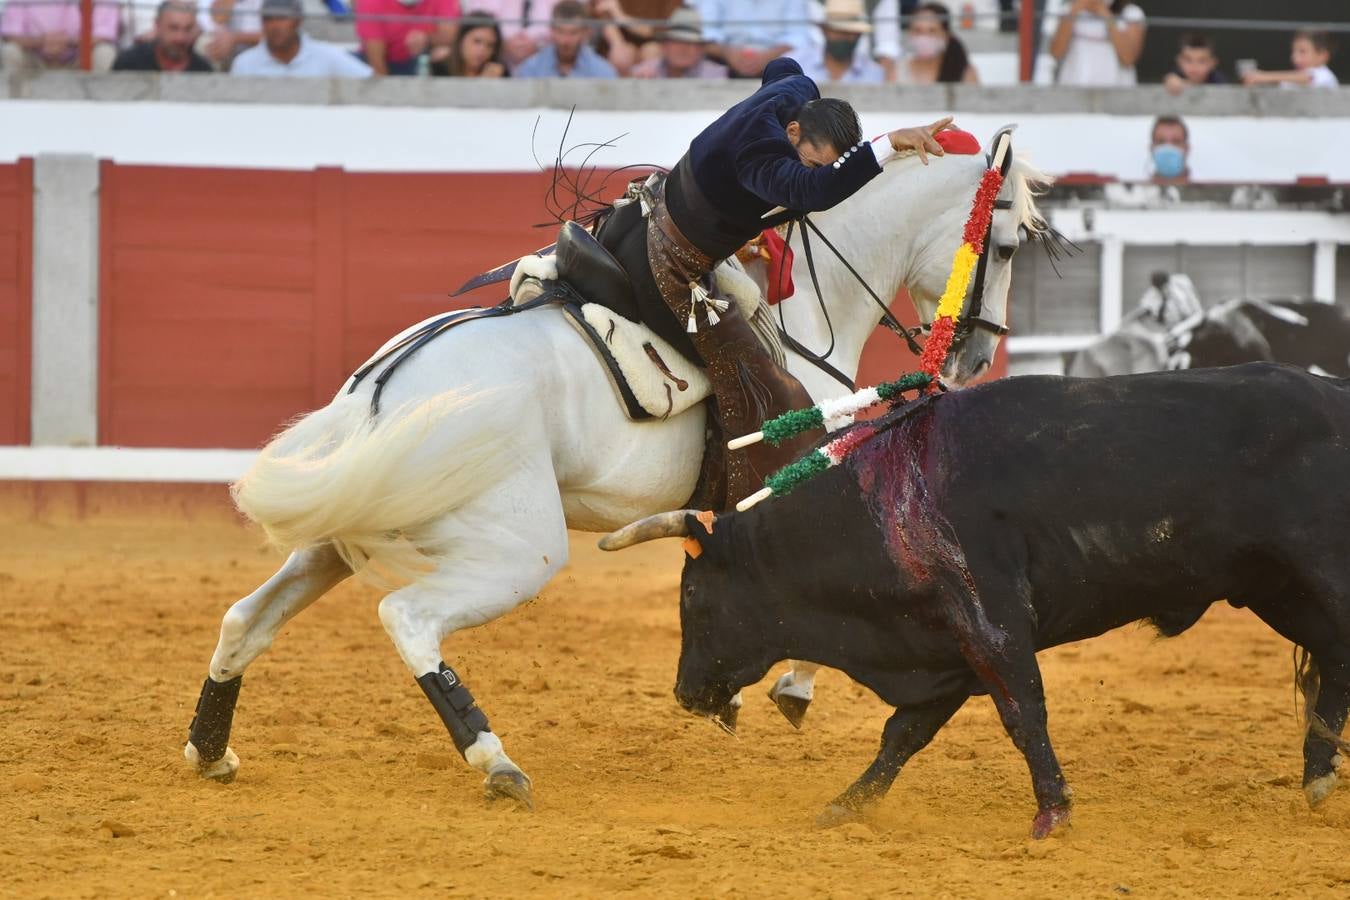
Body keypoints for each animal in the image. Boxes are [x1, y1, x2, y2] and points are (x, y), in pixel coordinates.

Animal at [184, 133, 1047, 809]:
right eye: (1005, 246)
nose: (975, 358)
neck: (800, 308)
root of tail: (383, 390)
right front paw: (791, 688)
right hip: (519, 551)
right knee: (408, 617)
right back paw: (496, 763)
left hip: (342, 528)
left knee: (245, 619)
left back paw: (208, 749)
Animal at [604, 361, 1350, 841]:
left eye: (693, 593)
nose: (684, 692)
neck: (881, 506)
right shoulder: (946, 646)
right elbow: (904, 733)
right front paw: (846, 806)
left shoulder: (989, 624)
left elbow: (1023, 713)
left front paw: (1053, 813)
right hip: (1277, 589)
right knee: (1336, 664)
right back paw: (1318, 777)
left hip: (1321, 575)